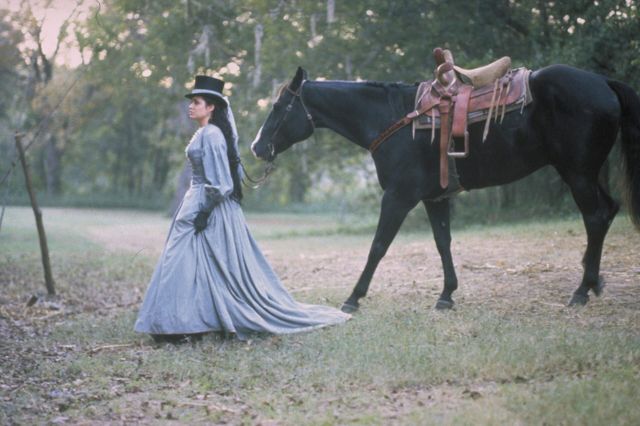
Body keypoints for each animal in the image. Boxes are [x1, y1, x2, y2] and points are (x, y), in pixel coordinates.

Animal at [250, 65, 640, 313]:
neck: (394, 120)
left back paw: (581, 290)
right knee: (607, 211)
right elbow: (442, 242)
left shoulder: (398, 198)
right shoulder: (434, 198)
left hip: (577, 173)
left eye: (279, 107)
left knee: (595, 217)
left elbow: (378, 247)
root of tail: (604, 82)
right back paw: (594, 281)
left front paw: (353, 298)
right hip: (585, 173)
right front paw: (446, 296)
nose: (256, 147)